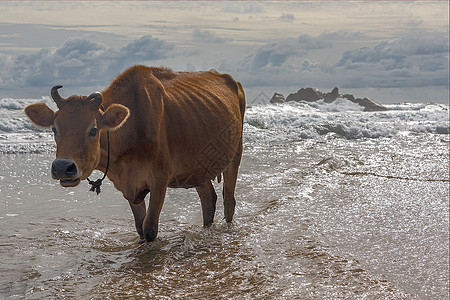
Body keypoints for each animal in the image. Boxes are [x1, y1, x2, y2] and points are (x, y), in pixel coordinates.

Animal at [23, 64, 246, 243]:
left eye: (93, 130)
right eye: (54, 129)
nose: (63, 167)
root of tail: (233, 81)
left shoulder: (160, 178)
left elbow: (149, 228)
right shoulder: (128, 183)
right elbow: (140, 226)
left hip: (236, 154)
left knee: (229, 201)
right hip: (199, 167)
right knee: (209, 200)